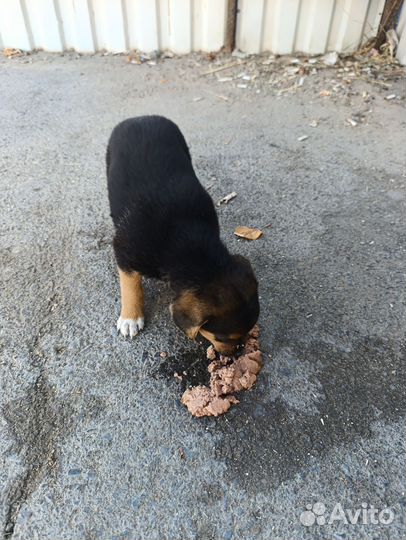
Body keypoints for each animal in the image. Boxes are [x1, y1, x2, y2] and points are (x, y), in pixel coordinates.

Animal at [107, 116, 260, 356]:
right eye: (221, 338)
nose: (237, 353)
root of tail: (141, 117)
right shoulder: (125, 253)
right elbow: (130, 286)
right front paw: (131, 318)